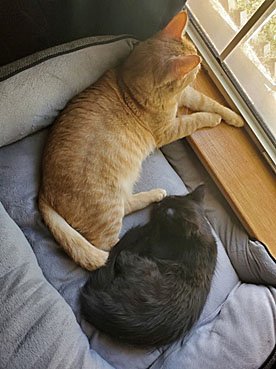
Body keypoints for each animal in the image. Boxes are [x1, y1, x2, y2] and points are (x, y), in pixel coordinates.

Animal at [38, 10, 244, 270]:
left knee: (128, 206)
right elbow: (196, 118)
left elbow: (208, 102)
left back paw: (156, 195)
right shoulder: (169, 129)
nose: (201, 67)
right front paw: (214, 119)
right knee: (110, 246)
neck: (128, 85)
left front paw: (234, 117)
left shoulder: (185, 97)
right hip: (109, 208)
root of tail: (43, 191)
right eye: (195, 69)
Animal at [81, 185, 217, 346]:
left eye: (166, 212)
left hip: (142, 263)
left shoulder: (156, 246)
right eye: (170, 198)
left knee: (123, 253)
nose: (158, 204)